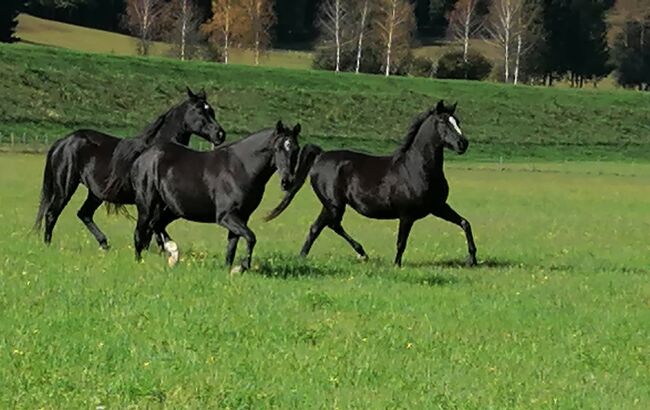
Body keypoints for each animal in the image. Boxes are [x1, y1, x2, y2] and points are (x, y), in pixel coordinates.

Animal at [34, 89, 225, 250]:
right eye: (200, 111)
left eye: (212, 111)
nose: (220, 134)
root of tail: (63, 142)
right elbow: (153, 228)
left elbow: (154, 229)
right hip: (65, 187)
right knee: (52, 214)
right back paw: (48, 246)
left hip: (95, 193)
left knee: (84, 214)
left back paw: (104, 244)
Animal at [132, 120, 304, 270]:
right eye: (278, 148)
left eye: (296, 149)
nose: (287, 182)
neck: (241, 169)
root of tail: (144, 156)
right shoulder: (225, 216)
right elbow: (251, 237)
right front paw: (241, 268)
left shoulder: (241, 217)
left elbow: (232, 247)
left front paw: (229, 269)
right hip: (147, 205)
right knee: (140, 232)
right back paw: (140, 262)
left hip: (171, 209)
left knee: (156, 224)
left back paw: (173, 254)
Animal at [264, 99, 476, 266]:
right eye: (443, 122)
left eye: (457, 121)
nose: (463, 144)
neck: (416, 168)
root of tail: (321, 155)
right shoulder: (407, 214)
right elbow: (401, 242)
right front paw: (396, 265)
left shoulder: (438, 206)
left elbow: (465, 223)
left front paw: (472, 259)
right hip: (334, 204)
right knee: (329, 225)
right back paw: (360, 253)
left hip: (331, 205)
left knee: (319, 227)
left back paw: (307, 256)